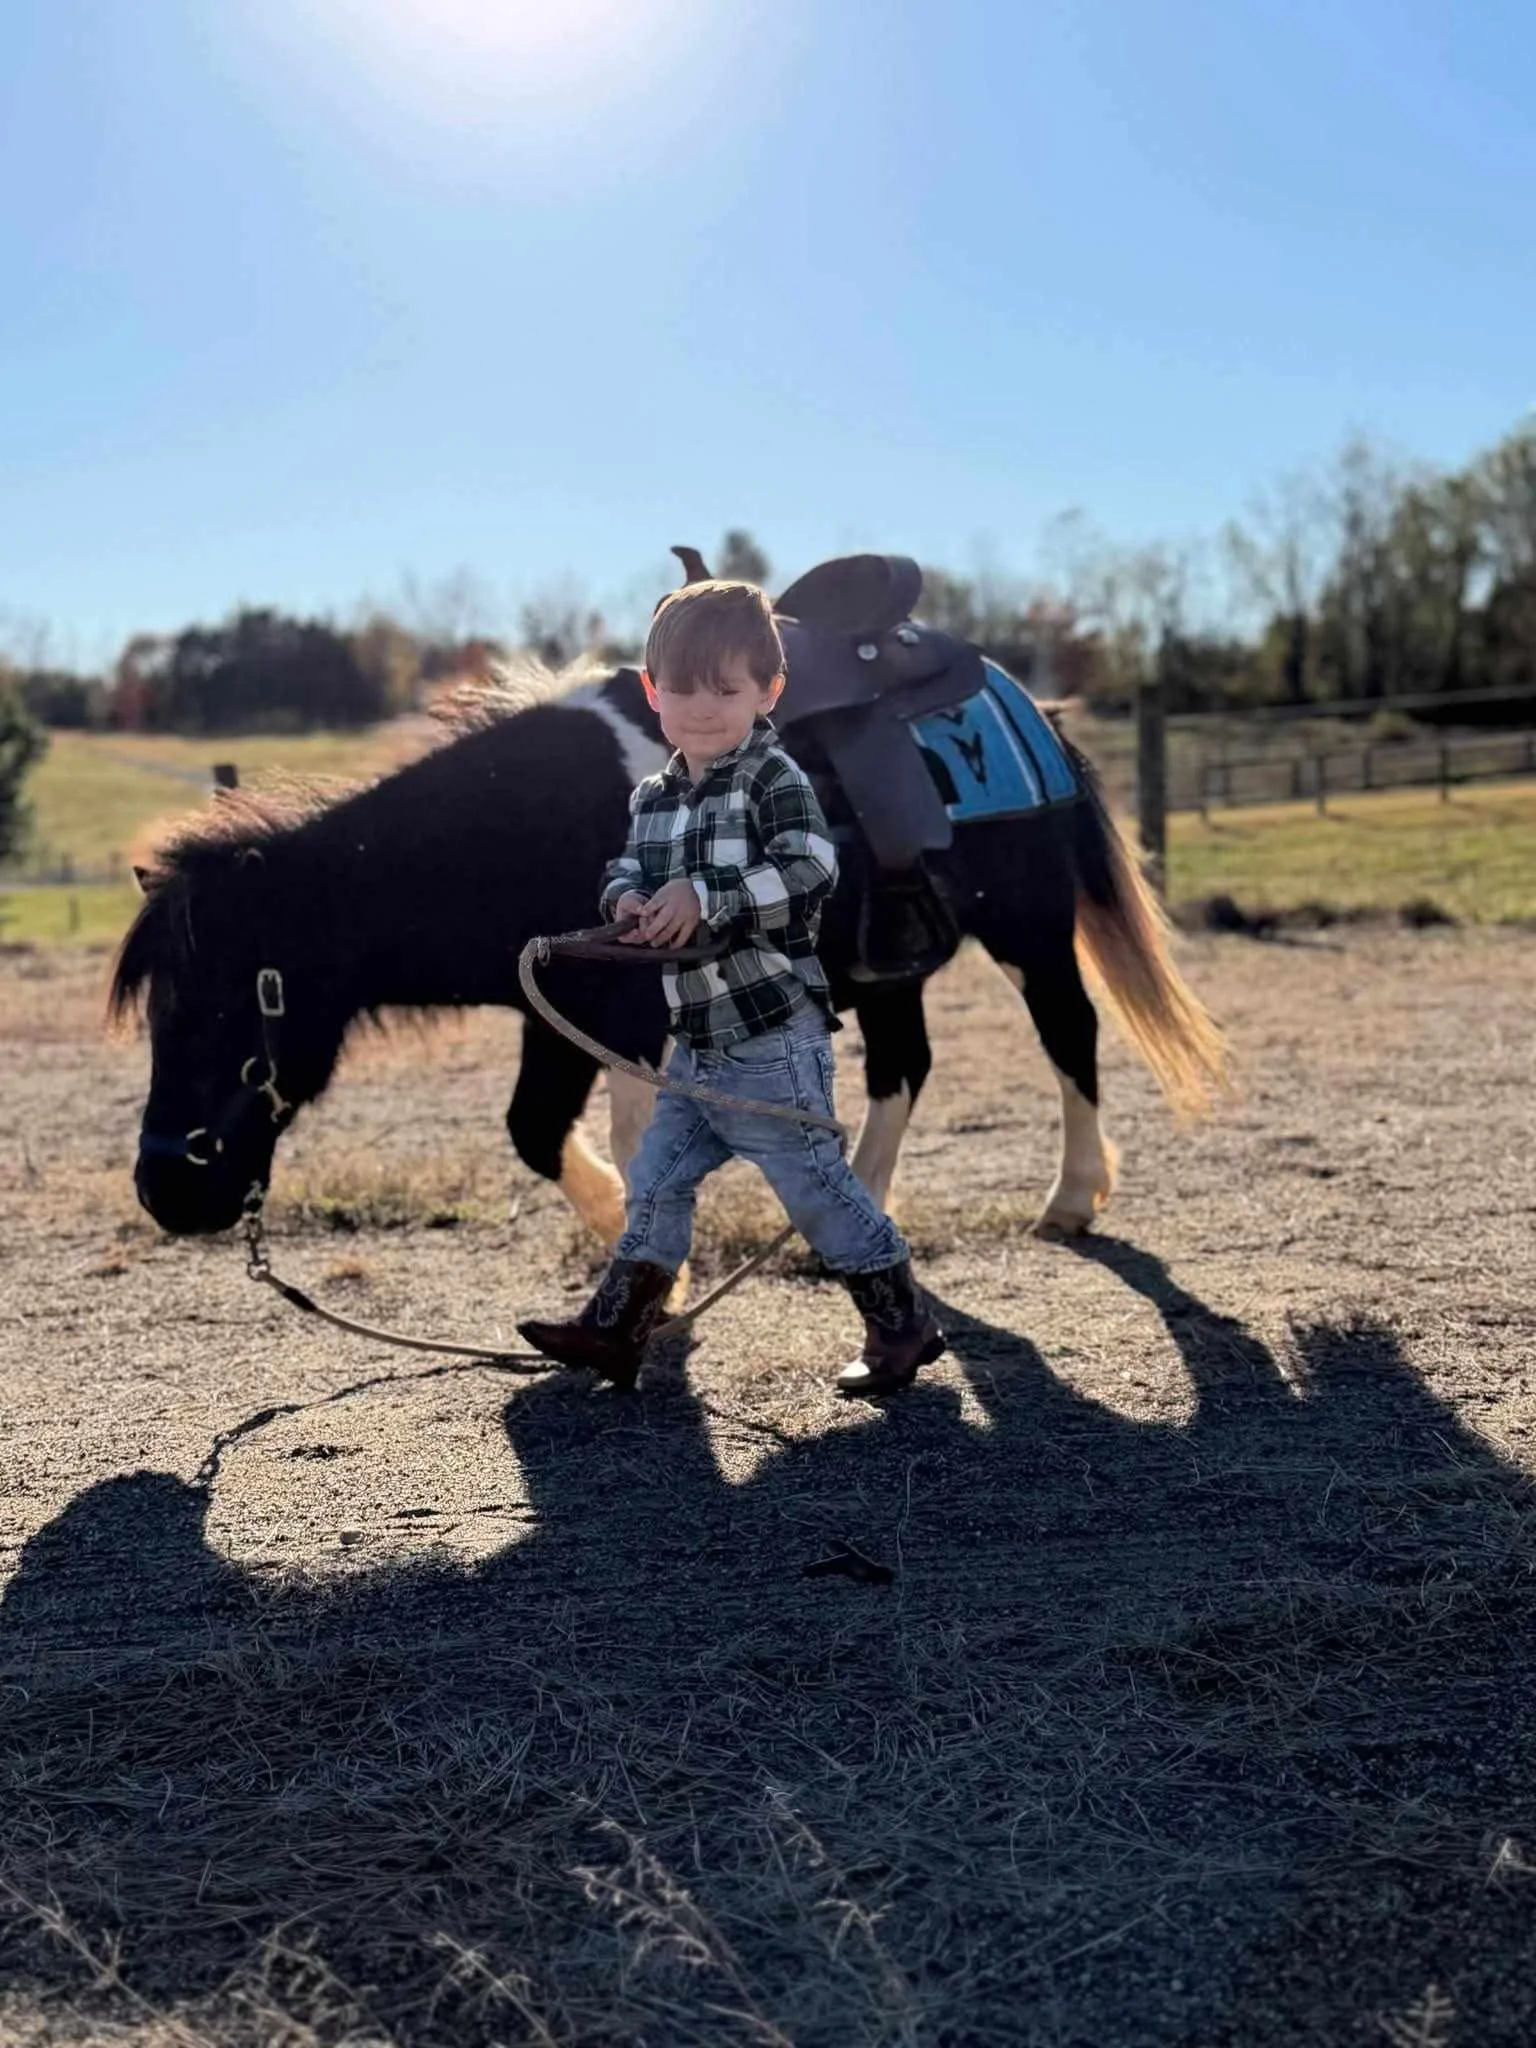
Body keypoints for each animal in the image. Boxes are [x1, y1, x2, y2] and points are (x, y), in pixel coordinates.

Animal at [111, 660, 1226, 1255]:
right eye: (160, 1012)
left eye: (231, 1000)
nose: (167, 1190)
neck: (533, 826)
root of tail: (1030, 704)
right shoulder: (555, 1004)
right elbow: (532, 1128)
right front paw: (620, 1236)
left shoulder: (632, 1014)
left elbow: (621, 1134)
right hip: (889, 969)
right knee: (902, 1068)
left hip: (1030, 928)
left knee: (1069, 1031)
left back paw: (1071, 1199)